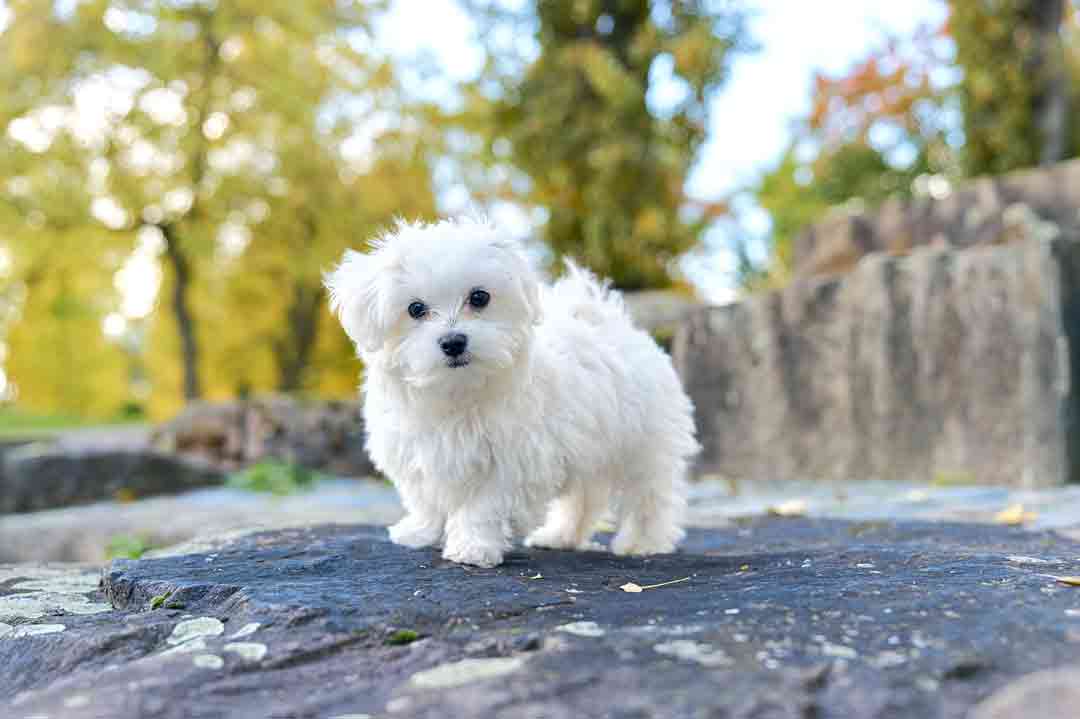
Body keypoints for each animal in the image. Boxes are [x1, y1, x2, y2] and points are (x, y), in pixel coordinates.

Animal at [326, 218, 699, 565]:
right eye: (415, 309)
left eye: (479, 297)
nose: (453, 342)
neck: (457, 393)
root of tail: (614, 323)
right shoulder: (414, 450)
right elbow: (424, 498)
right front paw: (419, 531)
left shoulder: (510, 461)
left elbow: (482, 507)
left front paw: (472, 547)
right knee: (584, 498)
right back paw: (560, 536)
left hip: (643, 444)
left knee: (650, 495)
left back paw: (643, 542)